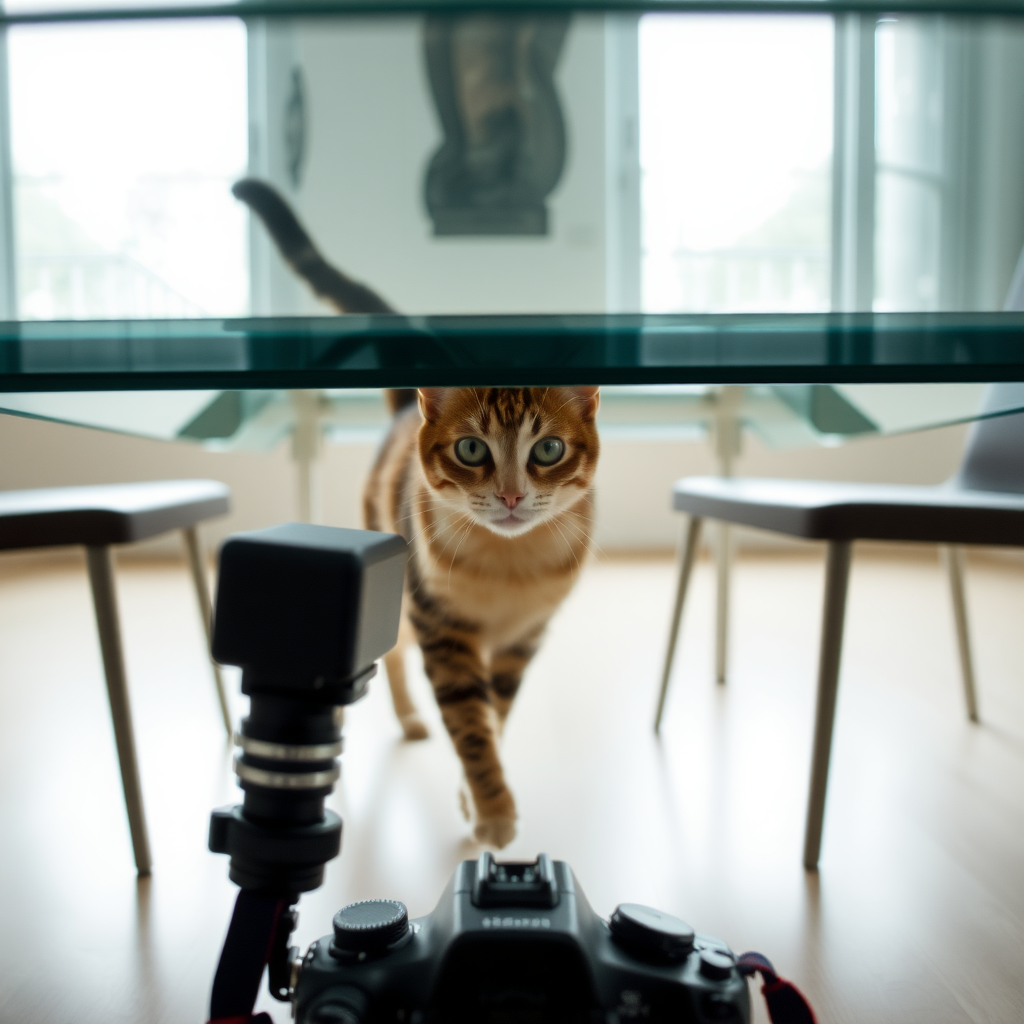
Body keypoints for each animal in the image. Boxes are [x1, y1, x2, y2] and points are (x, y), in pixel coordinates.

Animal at [234, 178, 598, 847]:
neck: (509, 568)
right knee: (393, 654)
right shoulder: (442, 626)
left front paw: (474, 799)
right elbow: (471, 728)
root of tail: (407, 406)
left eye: (549, 450)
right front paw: (494, 810)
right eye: (472, 449)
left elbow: (496, 716)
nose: (511, 496)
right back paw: (407, 720)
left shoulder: (523, 640)